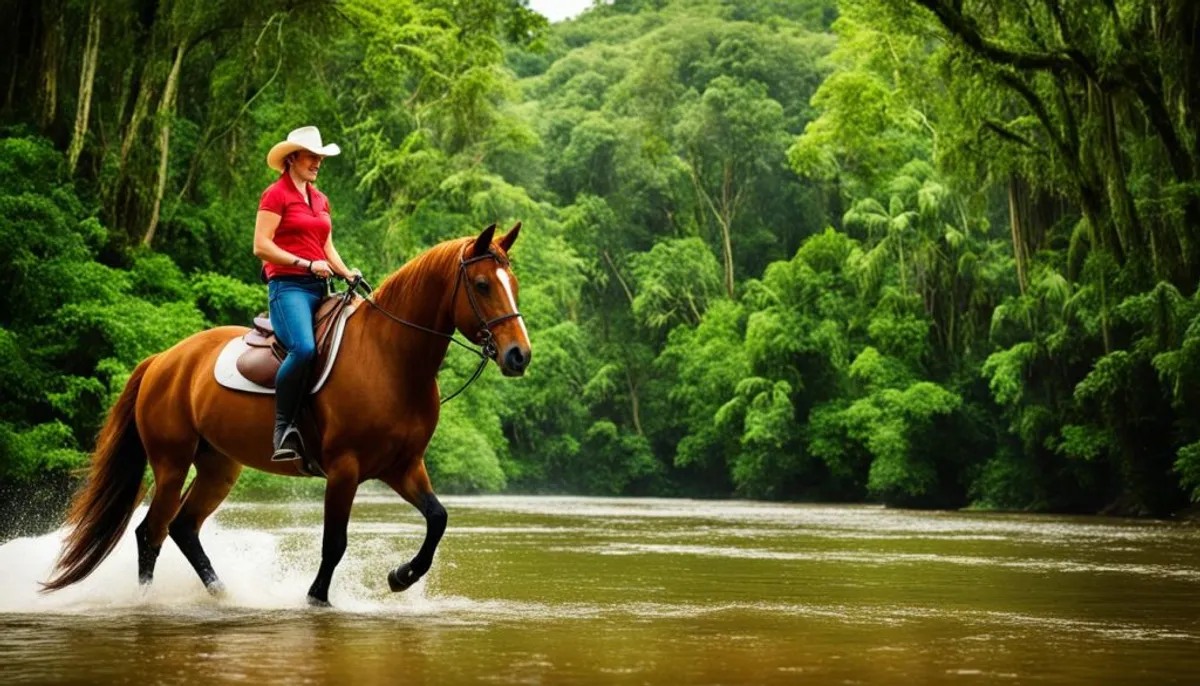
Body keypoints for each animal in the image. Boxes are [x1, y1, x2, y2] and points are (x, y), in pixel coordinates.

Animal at [42, 221, 530, 602]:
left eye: (515, 285)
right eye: (483, 285)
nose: (519, 356)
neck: (389, 357)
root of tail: (164, 359)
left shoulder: (403, 467)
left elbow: (437, 519)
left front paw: (400, 577)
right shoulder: (345, 470)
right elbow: (334, 543)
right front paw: (317, 600)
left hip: (219, 466)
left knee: (182, 527)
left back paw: (225, 595)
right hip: (171, 463)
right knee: (151, 531)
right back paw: (148, 601)